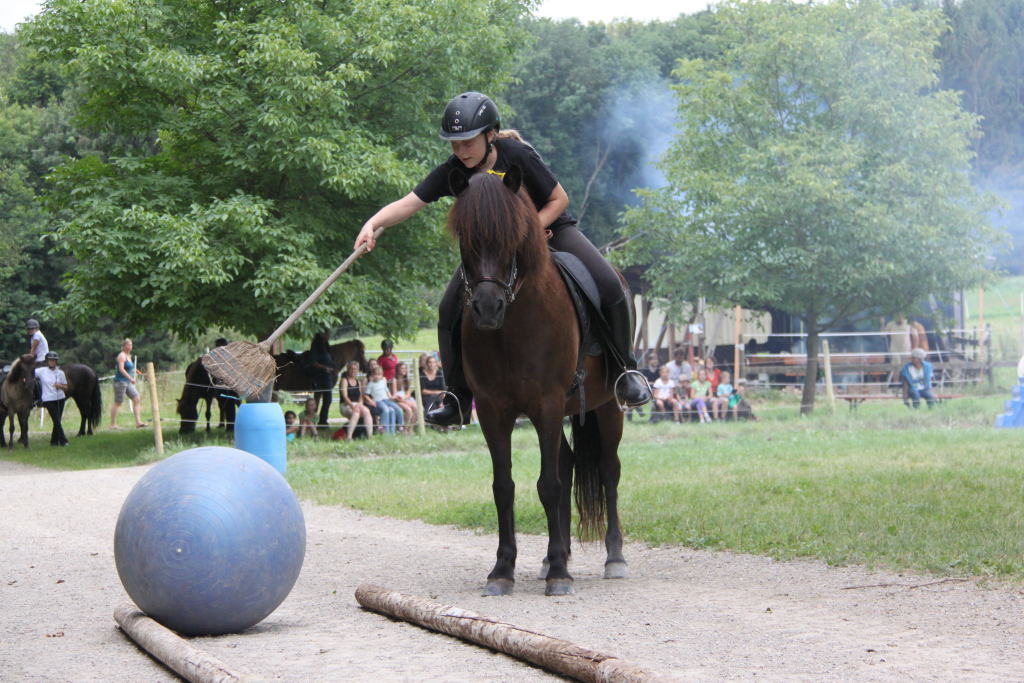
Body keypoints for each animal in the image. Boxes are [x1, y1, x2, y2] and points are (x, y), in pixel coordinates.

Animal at [448, 167, 629, 596]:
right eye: (466, 239)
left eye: (511, 237)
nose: (487, 307)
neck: (511, 328)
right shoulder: (494, 411)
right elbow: (504, 487)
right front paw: (502, 570)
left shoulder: (546, 403)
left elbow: (548, 485)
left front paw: (560, 574)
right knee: (567, 463)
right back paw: (551, 555)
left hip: (606, 406)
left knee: (608, 470)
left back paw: (613, 557)